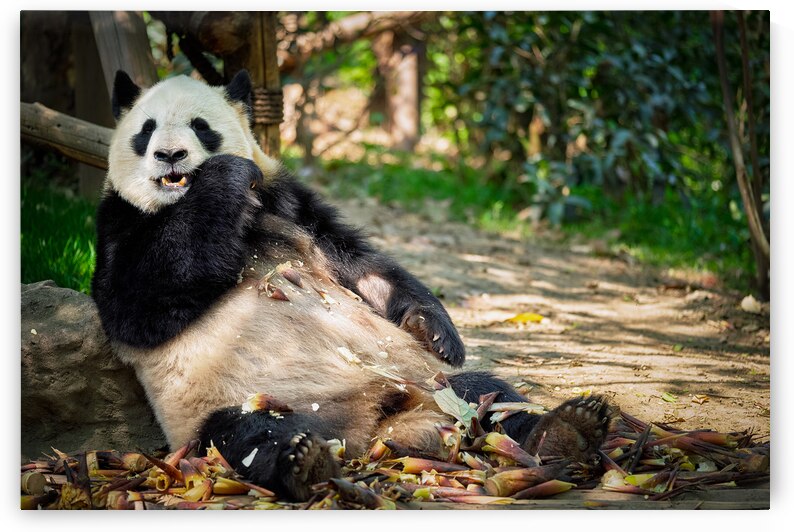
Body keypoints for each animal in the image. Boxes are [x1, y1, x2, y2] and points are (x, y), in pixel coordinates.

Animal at [91, 69, 611, 501]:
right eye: (146, 130)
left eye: (201, 126)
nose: (169, 155)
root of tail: (375, 426)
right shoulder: (120, 221)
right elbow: (139, 304)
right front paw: (224, 177)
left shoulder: (291, 203)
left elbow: (363, 268)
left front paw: (435, 329)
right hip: (231, 404)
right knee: (251, 433)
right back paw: (303, 463)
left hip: (428, 383)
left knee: (490, 393)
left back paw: (568, 429)